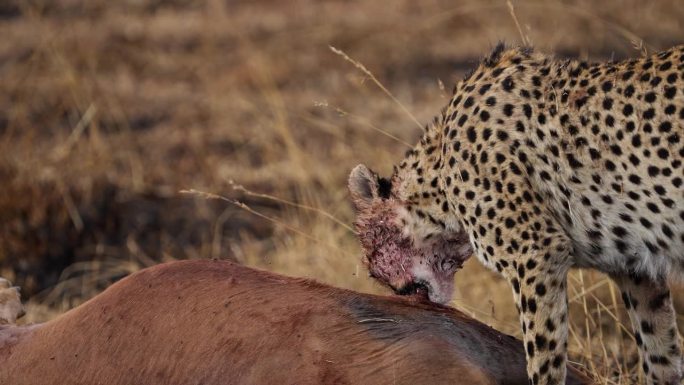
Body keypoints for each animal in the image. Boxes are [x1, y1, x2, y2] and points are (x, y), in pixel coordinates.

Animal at [350, 43, 680, 382]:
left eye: (372, 258)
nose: (399, 293)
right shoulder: (635, 269)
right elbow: (660, 353)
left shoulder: (538, 255)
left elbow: (543, 355)